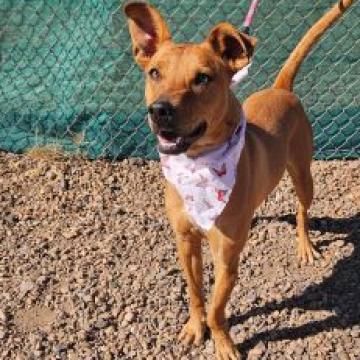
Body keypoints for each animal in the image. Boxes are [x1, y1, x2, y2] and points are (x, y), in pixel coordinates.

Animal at [124, 1, 354, 358]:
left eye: (203, 78)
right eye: (155, 73)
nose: (159, 110)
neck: (198, 167)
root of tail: (280, 88)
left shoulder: (227, 258)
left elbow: (217, 308)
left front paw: (222, 342)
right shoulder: (185, 242)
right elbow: (195, 292)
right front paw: (194, 327)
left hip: (303, 175)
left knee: (302, 211)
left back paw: (304, 245)